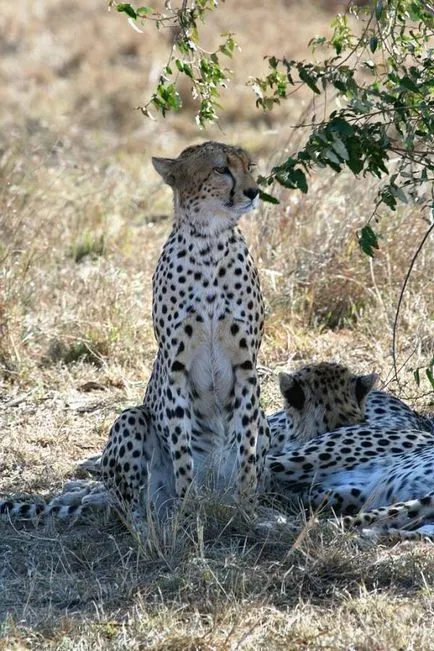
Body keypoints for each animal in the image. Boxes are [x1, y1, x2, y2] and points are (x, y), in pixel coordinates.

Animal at [0, 141, 271, 526]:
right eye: (221, 169)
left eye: (250, 167)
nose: (253, 191)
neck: (209, 241)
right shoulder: (175, 367)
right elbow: (182, 453)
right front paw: (188, 510)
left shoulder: (246, 366)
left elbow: (246, 446)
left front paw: (247, 509)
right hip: (132, 420)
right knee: (129, 504)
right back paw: (153, 520)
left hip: (264, 422)